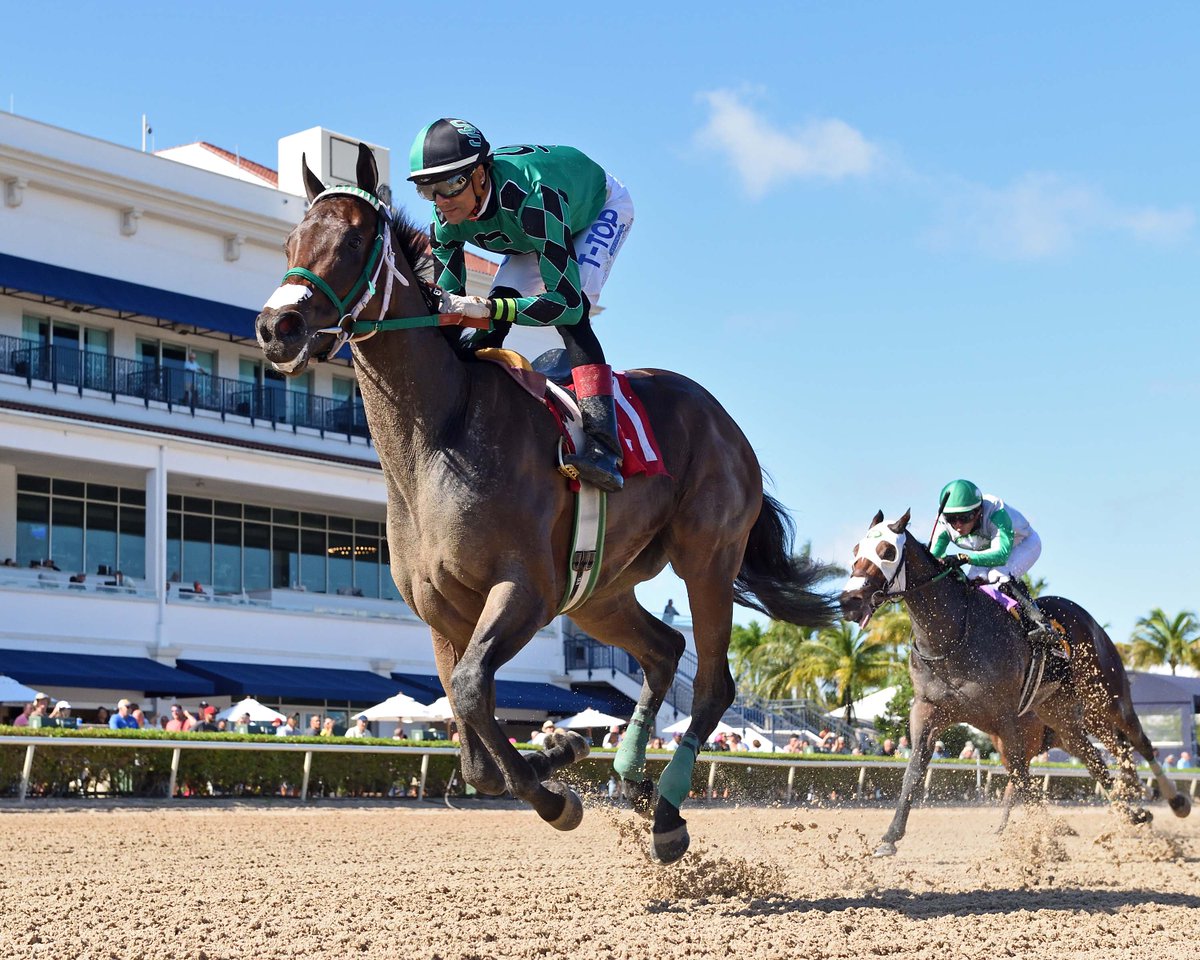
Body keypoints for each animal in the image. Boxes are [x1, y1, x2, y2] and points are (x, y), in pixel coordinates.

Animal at [253, 140, 835, 864]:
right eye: (291, 240)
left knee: (711, 683)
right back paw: (633, 780)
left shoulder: (524, 591)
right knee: (664, 650)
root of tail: (724, 420)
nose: (276, 327)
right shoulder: (443, 614)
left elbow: (473, 691)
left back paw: (667, 814)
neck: (437, 438)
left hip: (706, 558)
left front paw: (557, 795)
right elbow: (470, 731)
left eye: (356, 240)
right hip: (597, 593)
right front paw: (562, 748)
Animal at [840, 508, 1185, 854]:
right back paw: (1133, 812)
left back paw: (1174, 802)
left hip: (1107, 698)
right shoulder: (928, 710)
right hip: (1065, 717)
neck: (952, 635)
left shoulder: (1005, 716)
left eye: (887, 551)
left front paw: (1045, 841)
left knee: (1139, 744)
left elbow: (1020, 777)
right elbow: (915, 770)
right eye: (855, 549)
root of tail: (1088, 619)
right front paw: (890, 837)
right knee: (1098, 759)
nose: (849, 600)